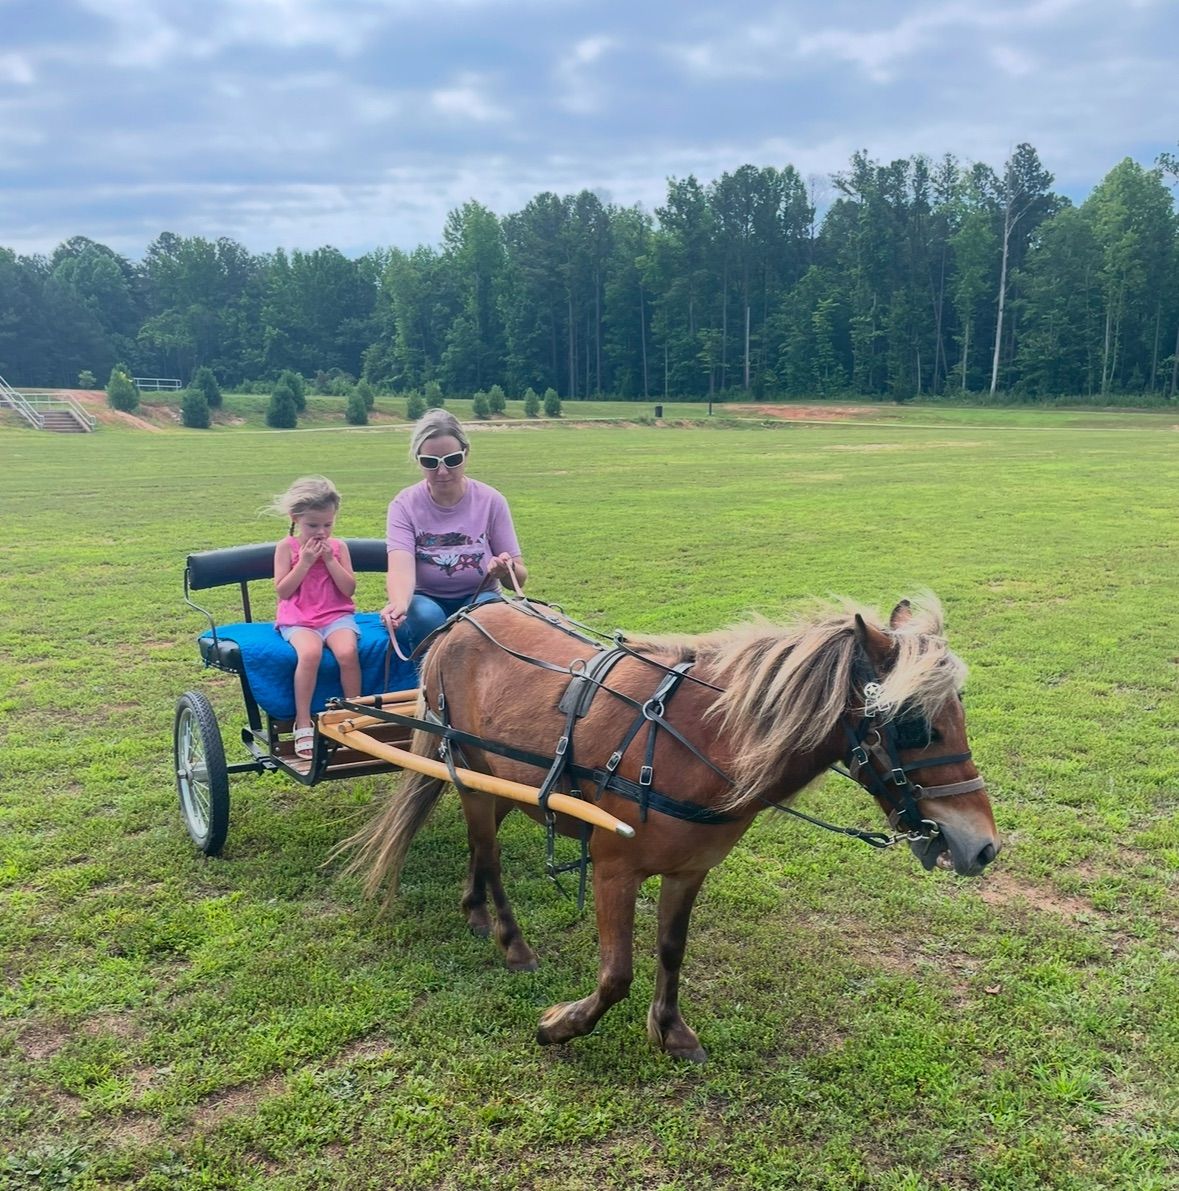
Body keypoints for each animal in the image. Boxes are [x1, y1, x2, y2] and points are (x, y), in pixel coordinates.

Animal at [340, 595, 995, 1062]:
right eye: (913, 726)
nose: (982, 846)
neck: (699, 744)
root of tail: (462, 621)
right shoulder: (612, 867)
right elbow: (616, 974)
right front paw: (562, 1025)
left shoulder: (689, 871)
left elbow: (672, 950)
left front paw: (670, 1029)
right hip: (471, 778)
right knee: (488, 851)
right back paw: (510, 940)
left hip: (499, 778)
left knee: (484, 847)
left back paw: (474, 911)